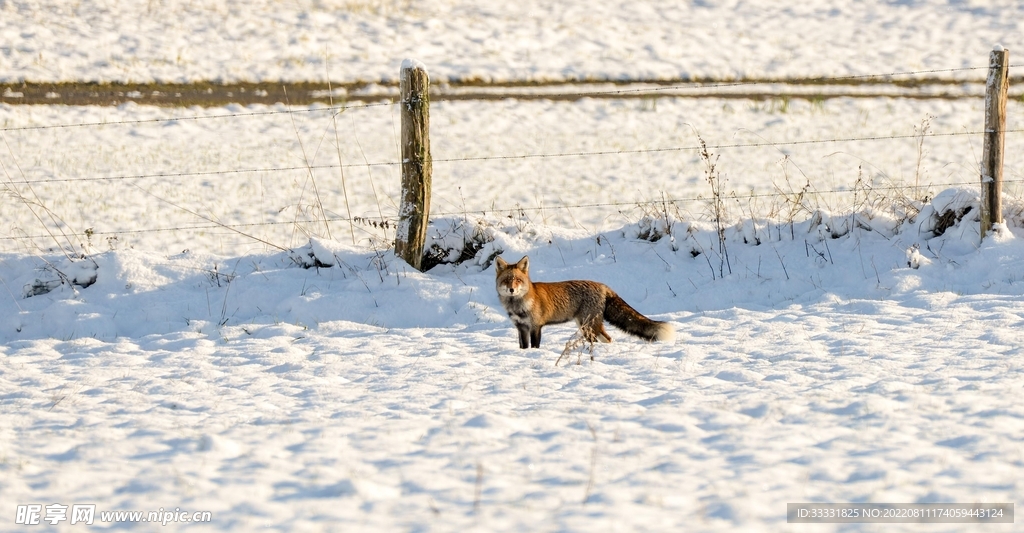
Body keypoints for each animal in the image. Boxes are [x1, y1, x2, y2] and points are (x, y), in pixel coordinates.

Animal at [493, 254, 675, 349]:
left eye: (517, 280)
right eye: (507, 280)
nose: (511, 290)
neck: (517, 306)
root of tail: (602, 285)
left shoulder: (535, 326)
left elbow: (535, 346)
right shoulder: (521, 328)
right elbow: (523, 347)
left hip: (587, 326)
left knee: (603, 339)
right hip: (588, 326)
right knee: (608, 339)